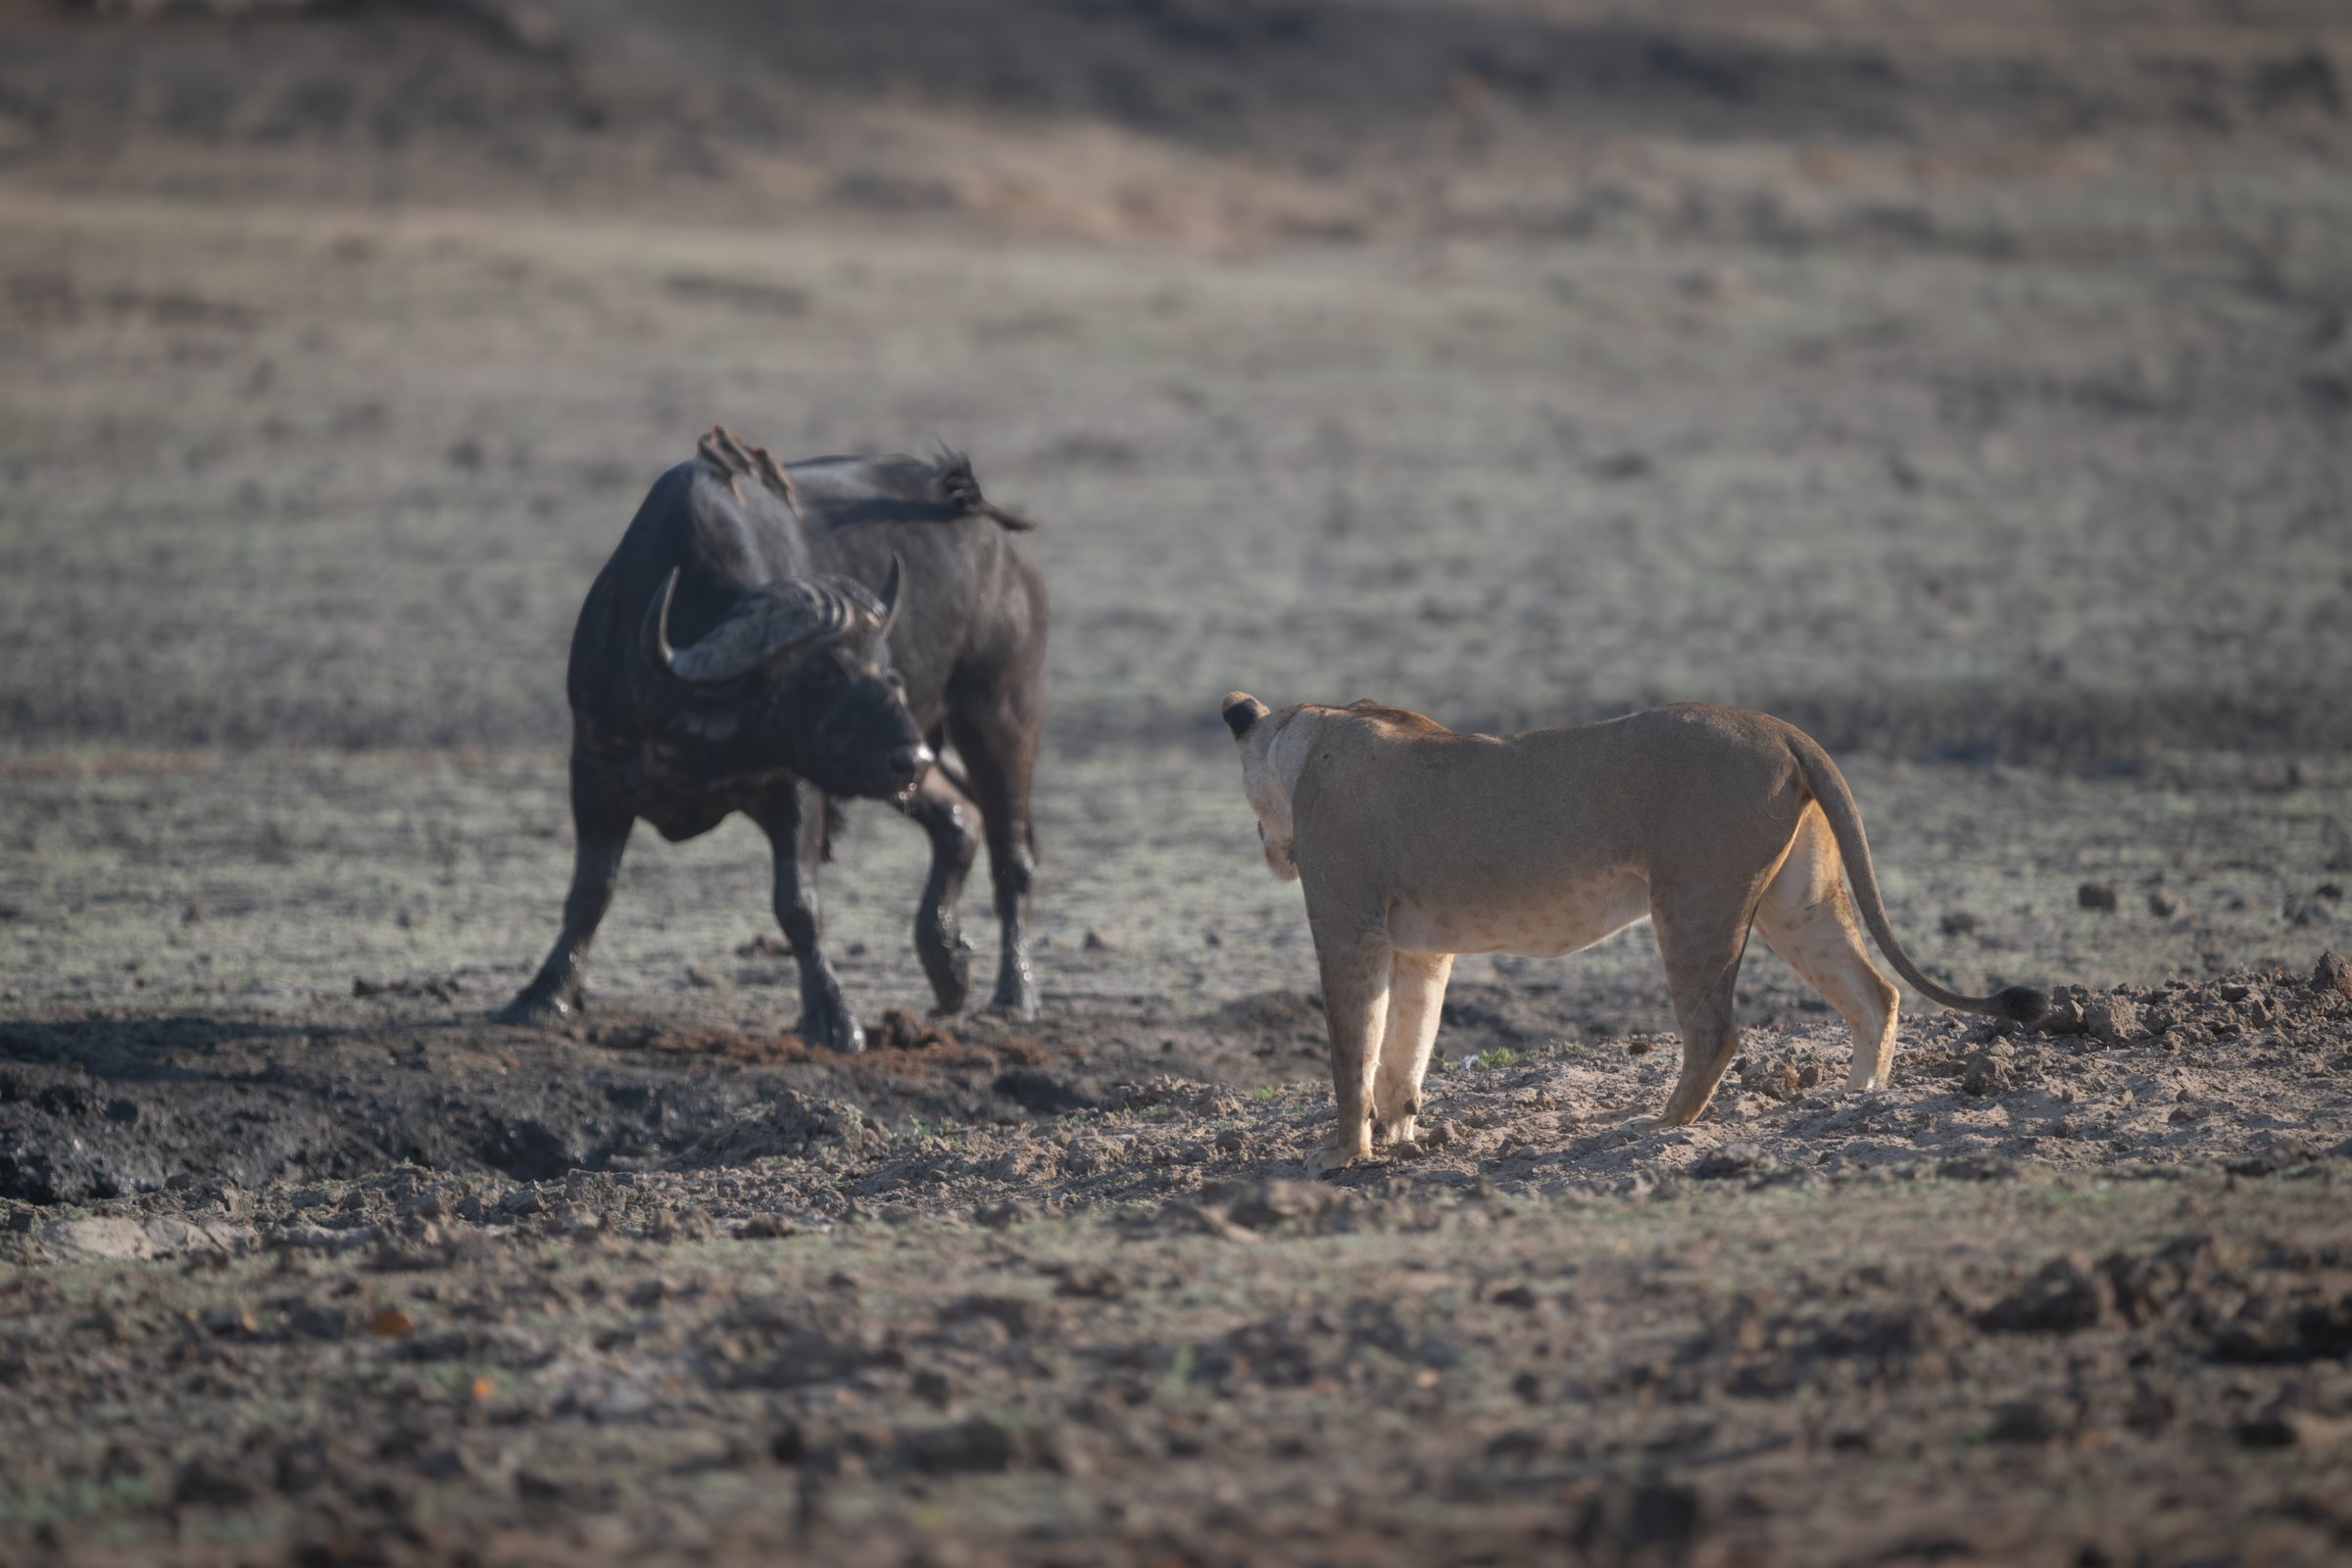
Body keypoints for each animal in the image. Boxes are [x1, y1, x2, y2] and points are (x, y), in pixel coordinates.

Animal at [496, 427, 1047, 1052]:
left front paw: (834, 1017)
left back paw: (1013, 997)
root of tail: (992, 529)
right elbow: (590, 892)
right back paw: (948, 965)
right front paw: (544, 996)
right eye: (820, 672)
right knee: (960, 820)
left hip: (999, 713)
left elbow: (799, 905)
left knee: (1013, 855)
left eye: (886, 671)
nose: (908, 756)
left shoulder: (795, 786)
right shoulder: (594, 769)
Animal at [1220, 693, 2046, 1177]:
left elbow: (1352, 1048)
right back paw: (1857, 1100)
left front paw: (1343, 1153)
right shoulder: (1422, 946)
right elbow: (1406, 1047)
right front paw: (1399, 1137)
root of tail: (1779, 727)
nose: (1263, 849)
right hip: (1798, 902)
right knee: (1875, 994)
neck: (1305, 731)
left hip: (1695, 897)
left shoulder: (1349, 925)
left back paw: (1661, 1124)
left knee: (1716, 1029)